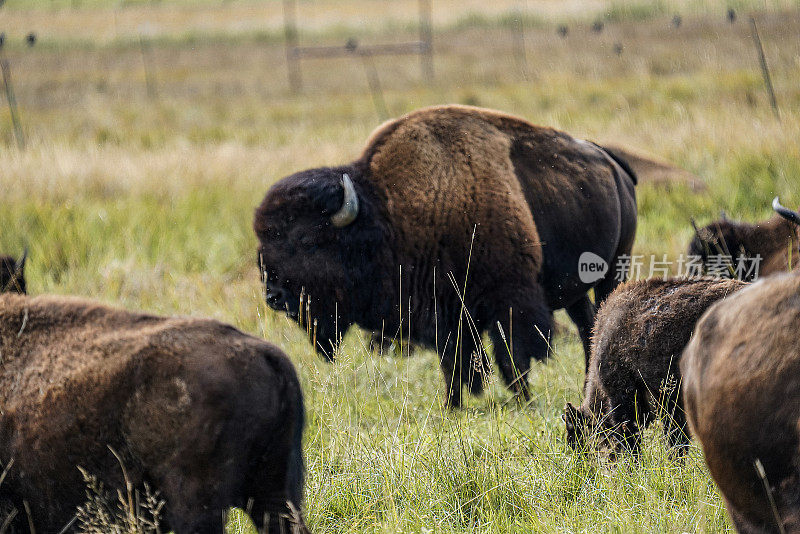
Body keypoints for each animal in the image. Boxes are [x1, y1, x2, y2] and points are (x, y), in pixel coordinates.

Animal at [256, 104, 636, 408]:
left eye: (308, 241)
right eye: (265, 242)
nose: (274, 296)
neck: (388, 214)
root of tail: (613, 164)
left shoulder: (509, 300)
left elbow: (512, 356)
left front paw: (523, 401)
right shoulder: (444, 312)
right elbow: (453, 362)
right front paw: (452, 406)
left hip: (614, 270)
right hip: (575, 288)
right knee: (586, 324)